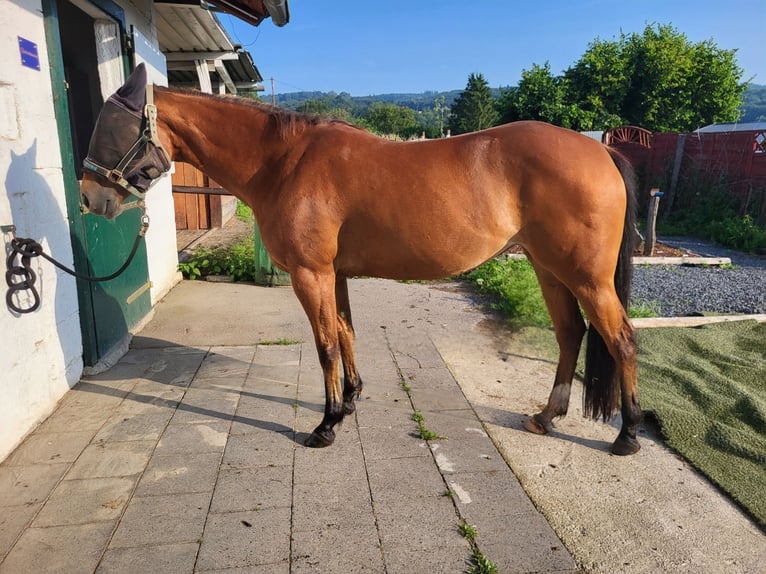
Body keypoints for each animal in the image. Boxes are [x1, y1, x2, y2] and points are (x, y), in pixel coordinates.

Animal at [80, 64, 642, 455]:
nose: (89, 198)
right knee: (571, 335)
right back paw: (547, 417)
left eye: (111, 129)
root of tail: (601, 151)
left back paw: (628, 435)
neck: (284, 162)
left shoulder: (311, 275)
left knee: (620, 340)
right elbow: (346, 333)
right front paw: (349, 401)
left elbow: (326, 344)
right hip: (549, 270)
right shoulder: (337, 274)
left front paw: (326, 424)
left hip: (586, 278)